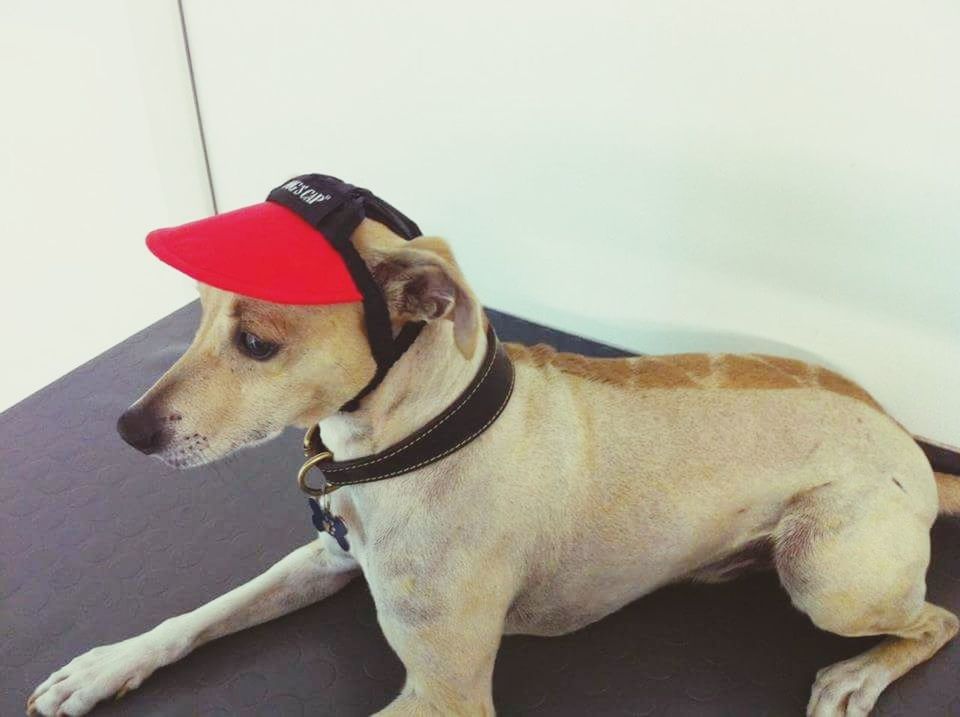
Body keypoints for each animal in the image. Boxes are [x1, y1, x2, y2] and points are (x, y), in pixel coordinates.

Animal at [28, 220, 960, 716]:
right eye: (195, 313)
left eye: (257, 341)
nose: (128, 428)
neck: (416, 436)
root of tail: (907, 442)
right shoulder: (325, 559)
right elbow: (201, 613)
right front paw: (102, 666)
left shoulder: (443, 694)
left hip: (826, 572)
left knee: (936, 618)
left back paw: (858, 673)